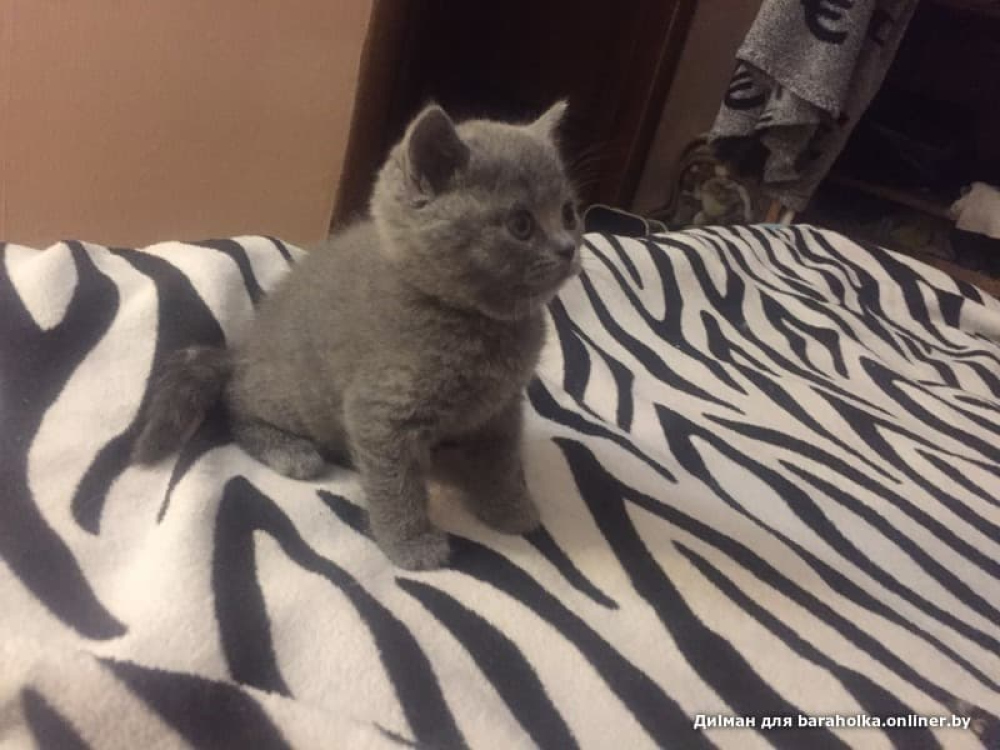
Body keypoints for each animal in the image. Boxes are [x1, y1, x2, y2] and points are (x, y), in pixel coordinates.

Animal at [133, 101, 583, 570]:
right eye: (521, 224)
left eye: (569, 213)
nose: (569, 248)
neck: (481, 322)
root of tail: (241, 349)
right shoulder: (382, 411)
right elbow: (396, 484)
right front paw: (411, 544)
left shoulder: (502, 408)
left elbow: (501, 461)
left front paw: (510, 508)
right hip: (293, 394)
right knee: (237, 404)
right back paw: (290, 451)